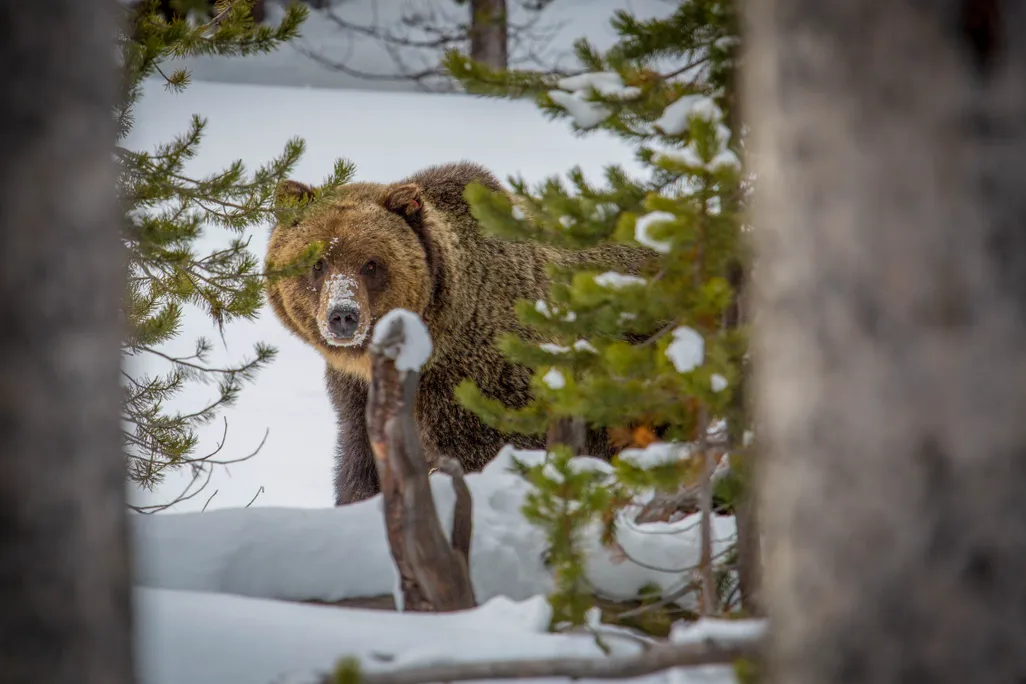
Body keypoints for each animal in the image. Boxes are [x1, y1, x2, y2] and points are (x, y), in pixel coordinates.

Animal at [265, 161, 656, 506]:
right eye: (317, 263)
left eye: (371, 264)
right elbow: (361, 468)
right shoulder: (356, 395)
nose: (343, 315)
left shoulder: (479, 385)